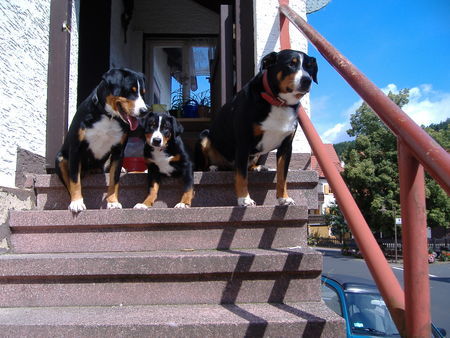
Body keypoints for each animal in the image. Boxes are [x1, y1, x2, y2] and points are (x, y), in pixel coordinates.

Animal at [55, 67, 148, 213]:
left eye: (142, 93)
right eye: (130, 90)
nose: (144, 111)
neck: (108, 116)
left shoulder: (118, 152)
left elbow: (114, 180)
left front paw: (113, 202)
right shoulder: (75, 149)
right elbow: (74, 180)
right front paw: (77, 202)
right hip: (60, 158)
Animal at [195, 47, 318, 206]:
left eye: (309, 67)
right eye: (291, 64)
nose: (307, 80)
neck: (278, 103)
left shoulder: (286, 147)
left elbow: (282, 176)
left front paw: (284, 198)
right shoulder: (243, 143)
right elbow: (242, 176)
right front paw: (244, 199)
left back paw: (259, 167)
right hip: (204, 136)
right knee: (204, 166)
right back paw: (213, 167)